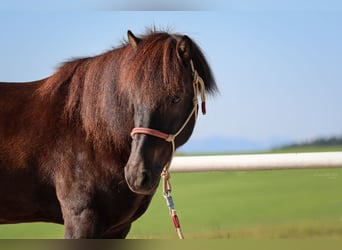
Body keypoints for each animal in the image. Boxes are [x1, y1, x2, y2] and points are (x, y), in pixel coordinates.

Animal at [0, 29, 216, 238]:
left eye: (176, 98)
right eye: (133, 96)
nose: (136, 174)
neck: (92, 134)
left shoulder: (117, 229)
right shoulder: (81, 219)